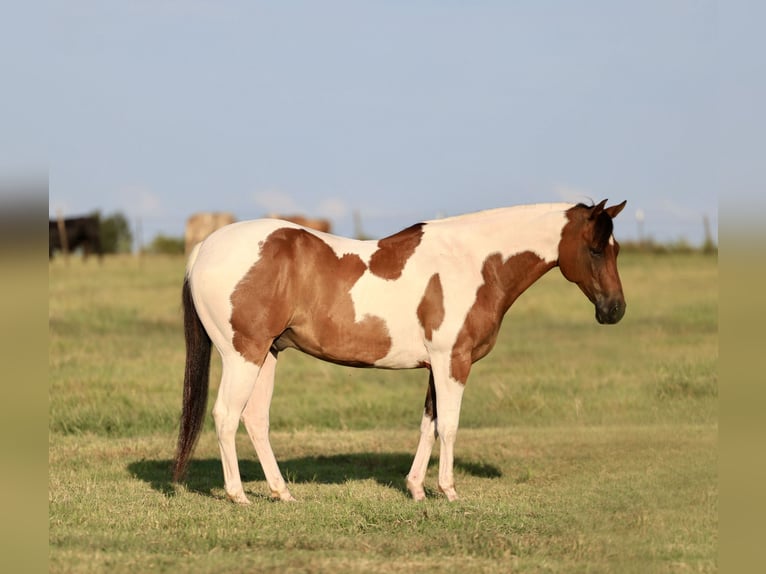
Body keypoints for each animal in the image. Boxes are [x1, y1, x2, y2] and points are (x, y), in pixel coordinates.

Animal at [173, 200, 627, 504]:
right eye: (595, 248)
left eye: (616, 249)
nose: (615, 310)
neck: (472, 263)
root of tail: (205, 247)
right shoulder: (453, 362)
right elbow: (450, 426)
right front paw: (449, 491)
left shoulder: (434, 366)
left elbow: (429, 424)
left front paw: (416, 489)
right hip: (242, 354)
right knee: (226, 416)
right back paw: (238, 496)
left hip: (267, 354)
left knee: (255, 420)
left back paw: (282, 493)